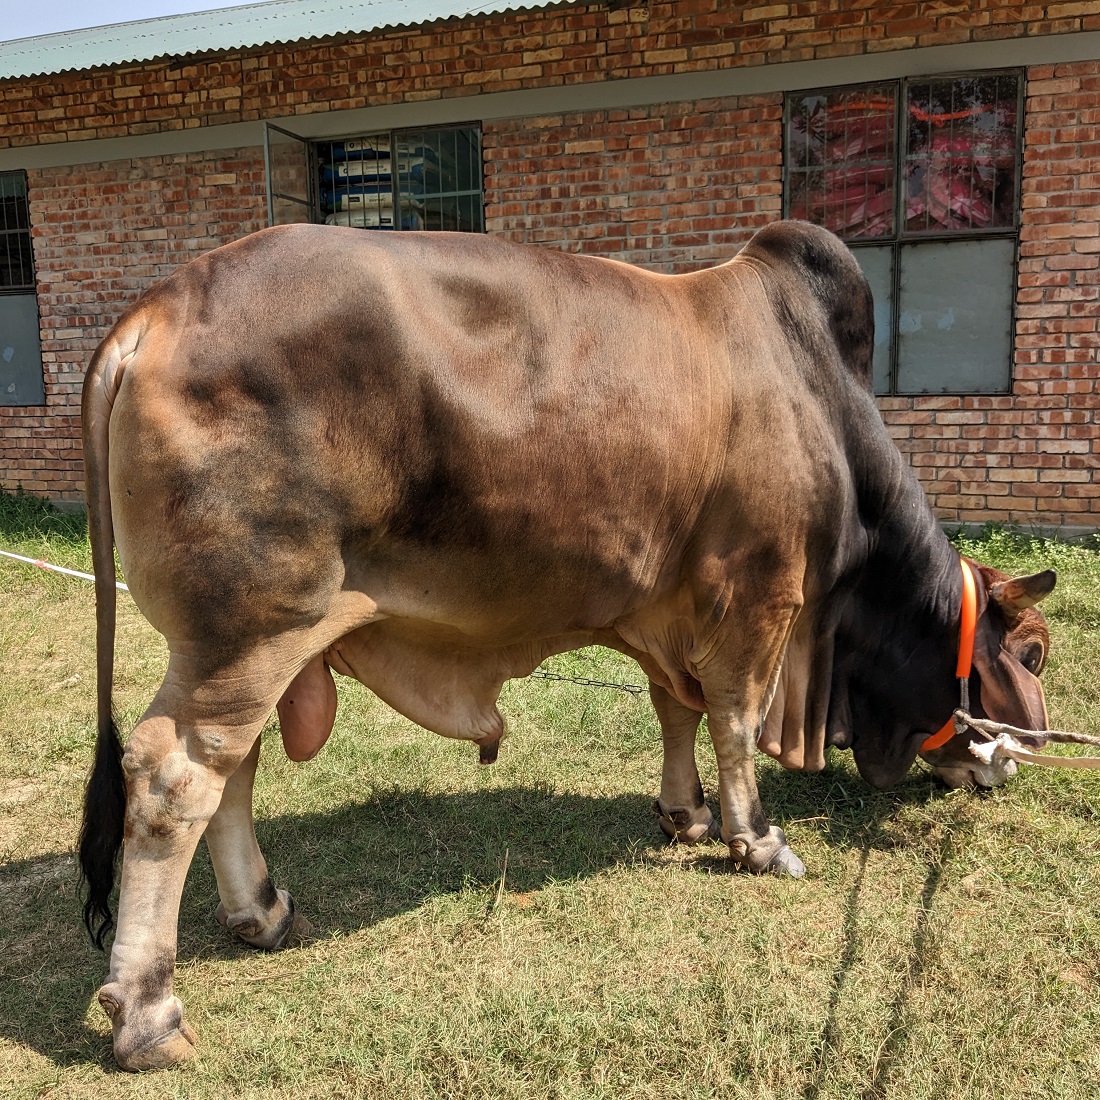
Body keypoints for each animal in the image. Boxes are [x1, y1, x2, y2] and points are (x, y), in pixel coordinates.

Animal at [73, 218, 1051, 1069]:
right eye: (1034, 654)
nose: (1024, 757)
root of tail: (155, 308)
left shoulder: (671, 614)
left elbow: (676, 711)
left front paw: (686, 814)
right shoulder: (761, 599)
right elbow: (735, 722)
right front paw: (757, 839)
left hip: (244, 646)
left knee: (231, 770)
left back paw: (263, 912)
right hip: (249, 632)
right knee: (174, 780)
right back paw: (149, 1013)